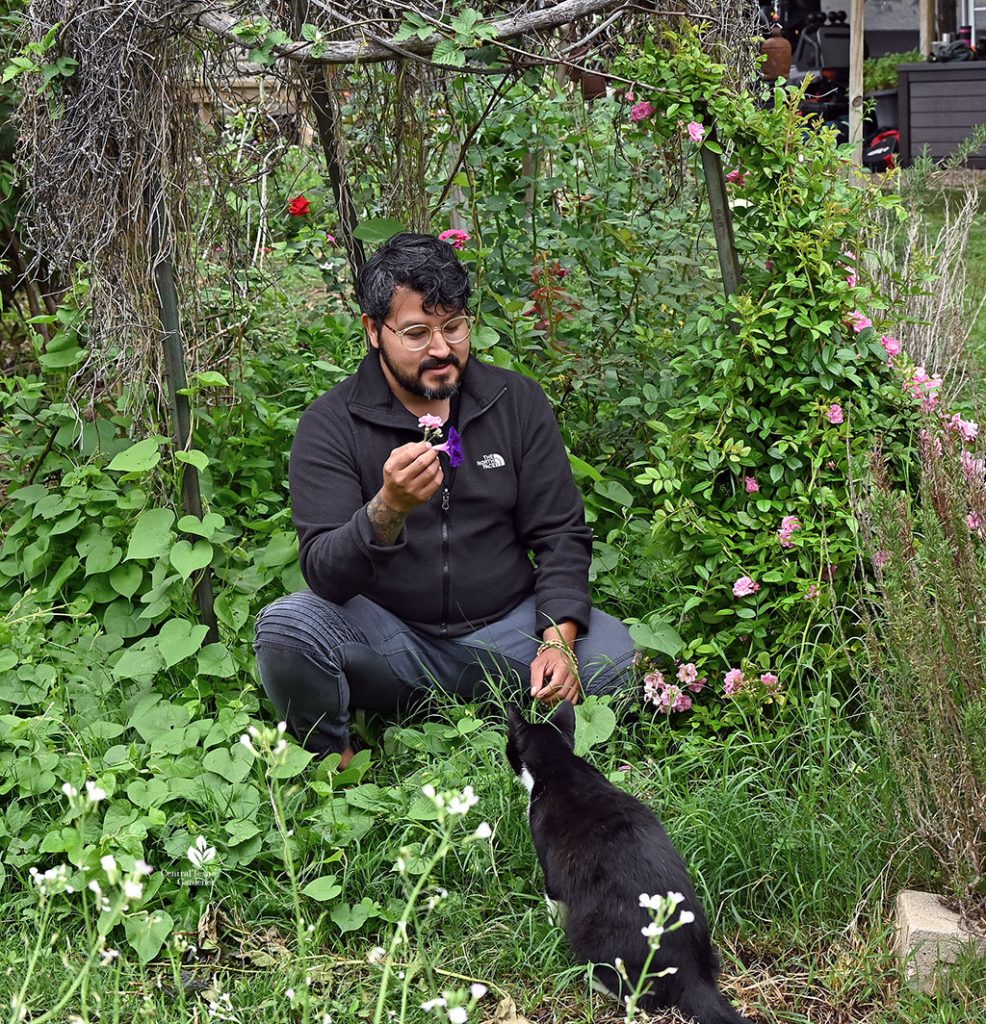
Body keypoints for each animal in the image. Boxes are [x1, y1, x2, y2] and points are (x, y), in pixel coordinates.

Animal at [505, 704, 753, 1024]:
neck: (559, 766)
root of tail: (690, 973)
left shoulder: (550, 868)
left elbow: (554, 904)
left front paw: (550, 931)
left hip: (593, 935)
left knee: (640, 997)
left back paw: (594, 980)